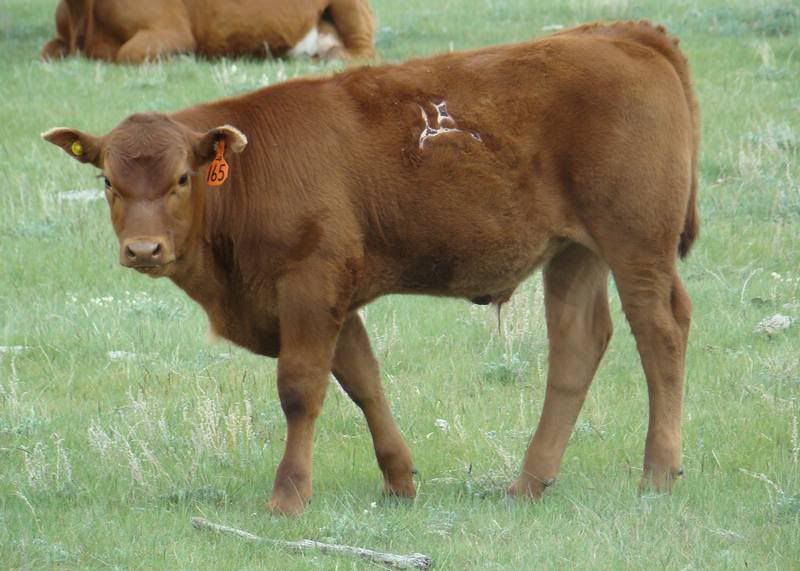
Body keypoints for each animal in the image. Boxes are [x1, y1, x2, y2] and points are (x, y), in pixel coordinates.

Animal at [43, 20, 700, 516]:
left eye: (182, 178)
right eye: (108, 181)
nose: (143, 249)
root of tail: (620, 34)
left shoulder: (311, 283)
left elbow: (301, 388)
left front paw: (288, 495)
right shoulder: (334, 298)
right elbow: (362, 380)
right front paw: (399, 480)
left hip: (636, 243)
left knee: (660, 333)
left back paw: (659, 471)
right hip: (573, 252)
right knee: (577, 346)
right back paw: (529, 483)